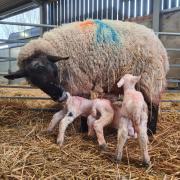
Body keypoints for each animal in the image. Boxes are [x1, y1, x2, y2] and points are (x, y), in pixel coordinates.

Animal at [3, 19, 169, 135]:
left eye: (54, 72)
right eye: (36, 82)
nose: (61, 96)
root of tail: (158, 42)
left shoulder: (80, 81)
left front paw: (82, 129)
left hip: (150, 77)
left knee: (154, 105)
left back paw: (151, 131)